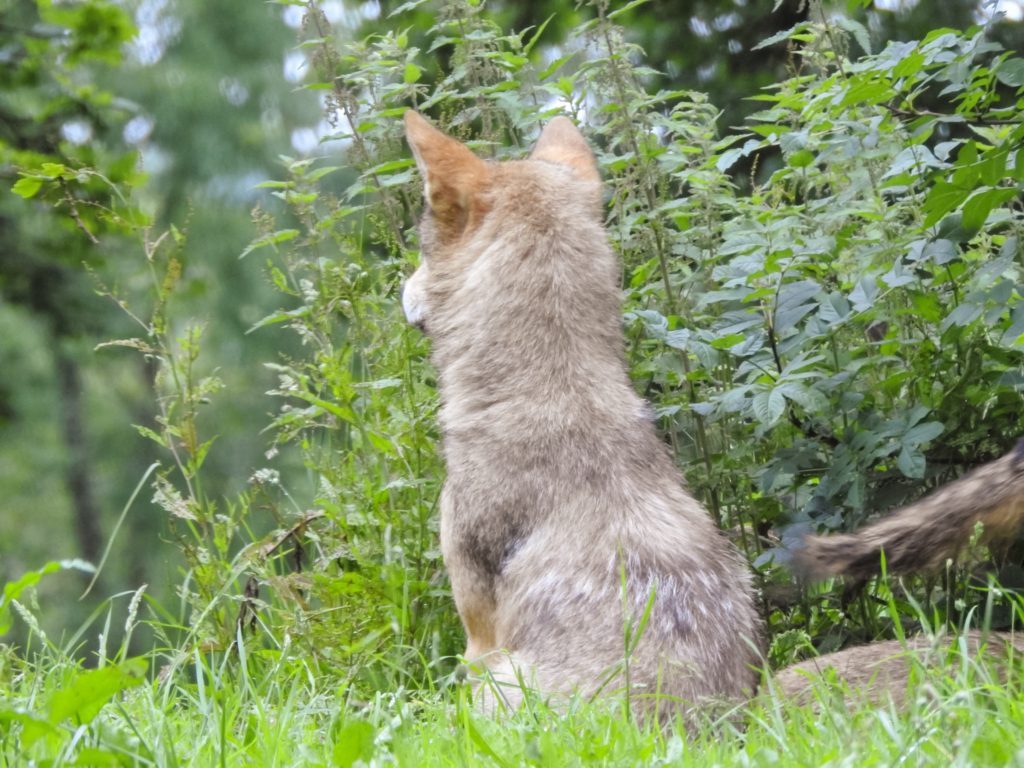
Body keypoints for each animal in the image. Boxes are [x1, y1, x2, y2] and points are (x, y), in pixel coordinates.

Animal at [400, 110, 1024, 719]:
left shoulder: (479, 636)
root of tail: (721, 731)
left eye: (422, 250)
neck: (557, 387)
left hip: (496, 684)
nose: (402, 291)